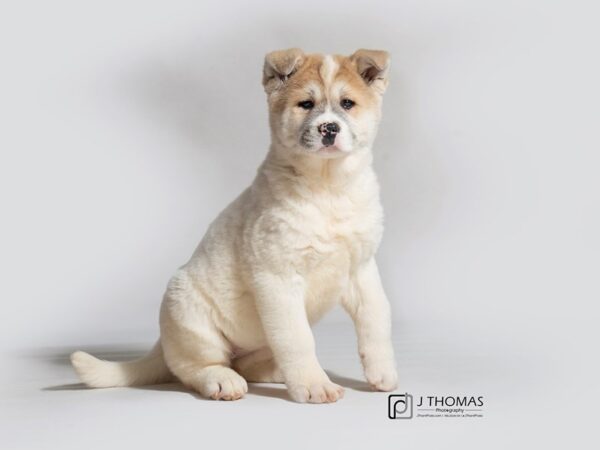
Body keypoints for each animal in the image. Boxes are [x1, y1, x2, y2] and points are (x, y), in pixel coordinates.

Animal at [71, 47, 398, 402]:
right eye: (306, 104)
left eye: (348, 103)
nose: (329, 129)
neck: (328, 188)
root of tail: (162, 342)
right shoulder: (278, 278)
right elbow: (298, 339)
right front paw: (314, 385)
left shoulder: (361, 270)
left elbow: (376, 321)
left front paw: (382, 373)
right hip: (186, 310)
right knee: (191, 367)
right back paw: (222, 381)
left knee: (248, 362)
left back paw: (275, 372)